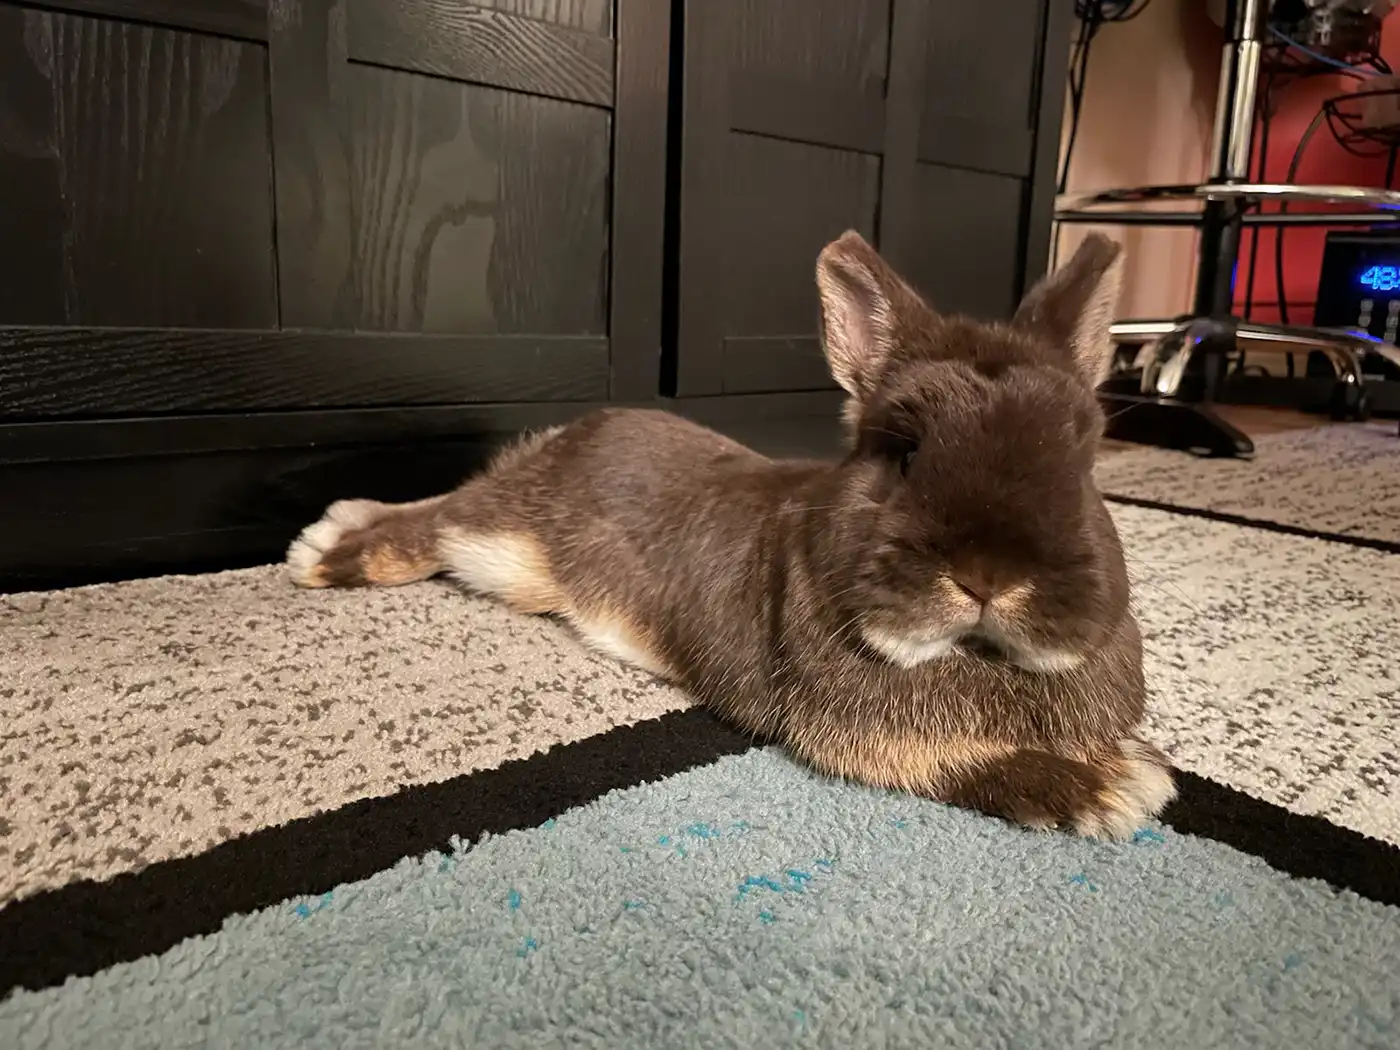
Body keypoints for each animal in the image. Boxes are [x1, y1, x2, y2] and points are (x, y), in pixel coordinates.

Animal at [289, 229, 1176, 840]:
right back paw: (322, 553)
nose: (989, 574)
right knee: (435, 519)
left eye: (1083, 456)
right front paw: (1120, 788)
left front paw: (1125, 771)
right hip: (506, 542)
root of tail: (582, 427)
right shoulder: (853, 728)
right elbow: (955, 760)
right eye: (903, 452)